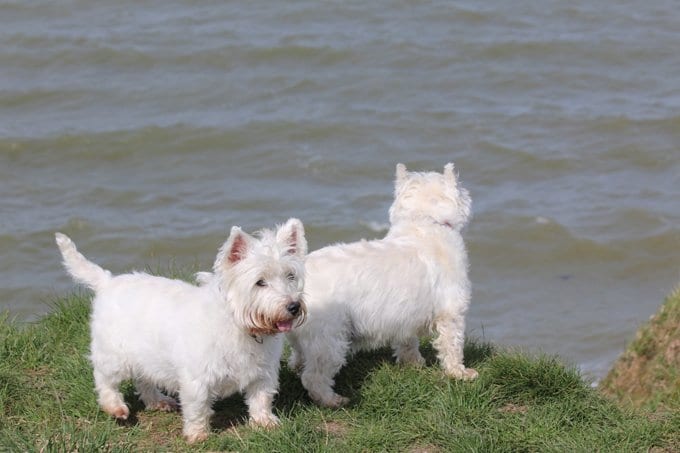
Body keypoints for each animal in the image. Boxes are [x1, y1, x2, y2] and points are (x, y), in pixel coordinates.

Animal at [54, 219, 306, 442]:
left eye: (290, 276)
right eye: (260, 282)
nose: (293, 306)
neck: (241, 326)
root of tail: (107, 282)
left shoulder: (263, 372)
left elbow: (261, 398)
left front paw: (265, 422)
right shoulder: (197, 378)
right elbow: (198, 408)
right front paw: (198, 434)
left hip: (146, 356)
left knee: (143, 380)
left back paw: (158, 401)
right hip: (114, 353)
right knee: (105, 379)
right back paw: (116, 407)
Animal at [286, 162, 478, 406]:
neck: (423, 223)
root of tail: (297, 274)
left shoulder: (405, 316)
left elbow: (408, 343)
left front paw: (414, 363)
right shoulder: (451, 312)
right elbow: (452, 345)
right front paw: (460, 373)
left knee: (298, 358)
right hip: (329, 339)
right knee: (314, 377)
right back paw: (334, 400)